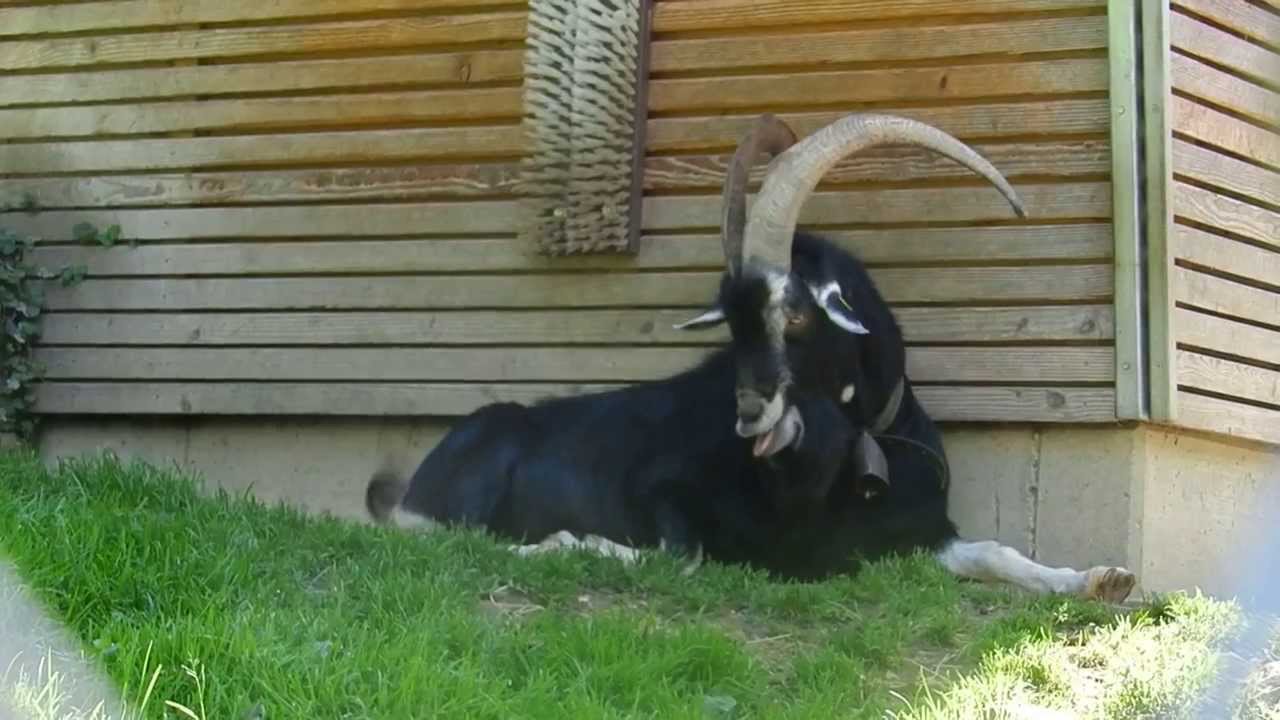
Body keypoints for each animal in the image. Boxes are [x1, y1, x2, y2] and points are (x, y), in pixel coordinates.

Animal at [364, 113, 1136, 602]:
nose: (749, 412)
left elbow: (996, 552)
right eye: (731, 327)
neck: (854, 447)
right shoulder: (670, 493)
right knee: (444, 540)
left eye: (792, 312)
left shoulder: (920, 529)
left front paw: (1100, 579)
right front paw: (569, 543)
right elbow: (687, 555)